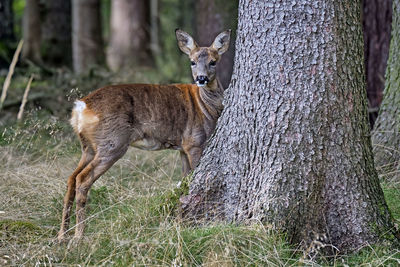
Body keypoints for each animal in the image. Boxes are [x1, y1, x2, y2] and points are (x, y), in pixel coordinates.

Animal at [57, 29, 230, 243]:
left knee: (71, 178)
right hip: (112, 142)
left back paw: (62, 236)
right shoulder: (195, 141)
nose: (201, 78)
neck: (206, 107)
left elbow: (185, 181)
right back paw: (79, 237)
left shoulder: (183, 147)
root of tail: (80, 107)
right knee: (82, 179)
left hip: (88, 146)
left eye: (213, 61)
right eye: (192, 61)